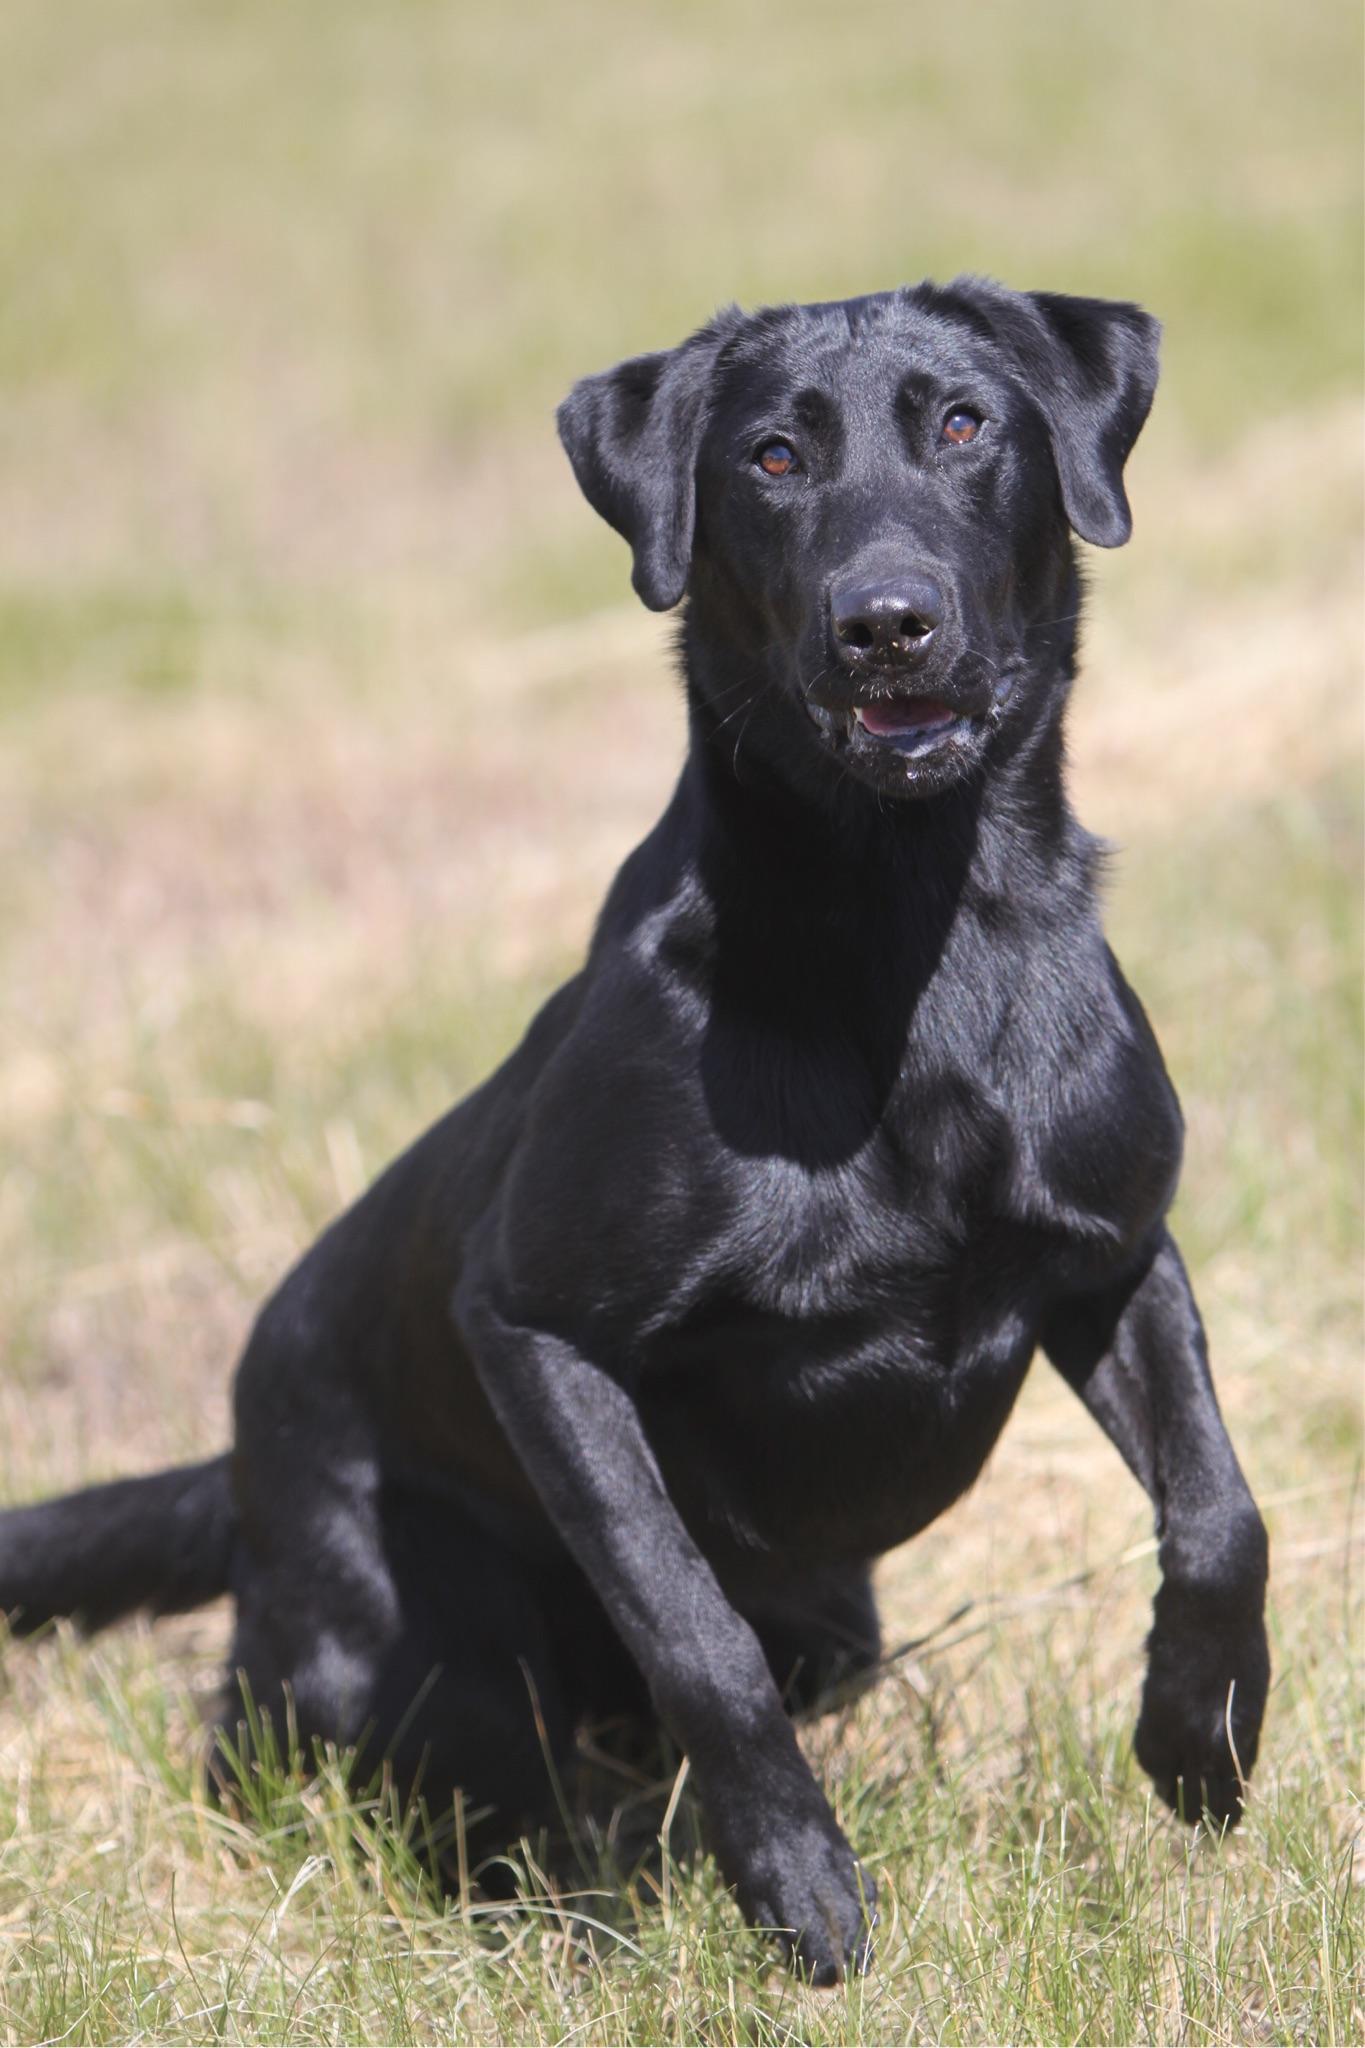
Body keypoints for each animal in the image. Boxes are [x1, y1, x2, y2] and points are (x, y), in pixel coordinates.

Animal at [0, 276, 1268, 1982]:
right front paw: (798, 1887)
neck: (910, 942)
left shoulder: (1114, 1250)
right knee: (332, 1752)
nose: (885, 621)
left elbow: (1220, 1512)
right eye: (774, 459)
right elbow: (689, 1628)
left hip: (836, 1623)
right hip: (390, 1648)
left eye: (961, 425)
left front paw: (1200, 1739)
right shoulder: (537, 1332)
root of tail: (237, 1468)